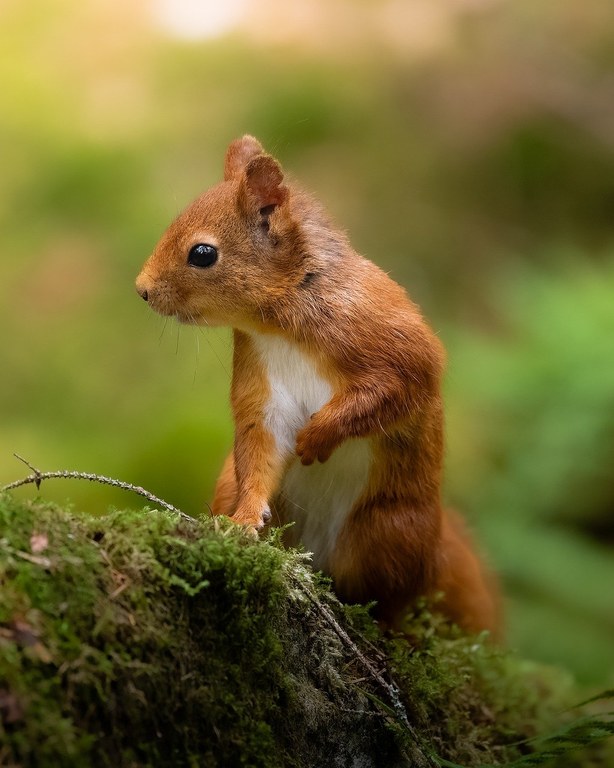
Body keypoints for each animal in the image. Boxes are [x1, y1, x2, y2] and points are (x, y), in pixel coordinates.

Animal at [135, 135, 499, 636]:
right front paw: (244, 520)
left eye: (202, 253)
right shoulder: (264, 388)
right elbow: (261, 447)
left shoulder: (391, 342)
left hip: (389, 530)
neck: (279, 322)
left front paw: (319, 436)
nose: (142, 289)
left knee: (391, 597)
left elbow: (391, 390)